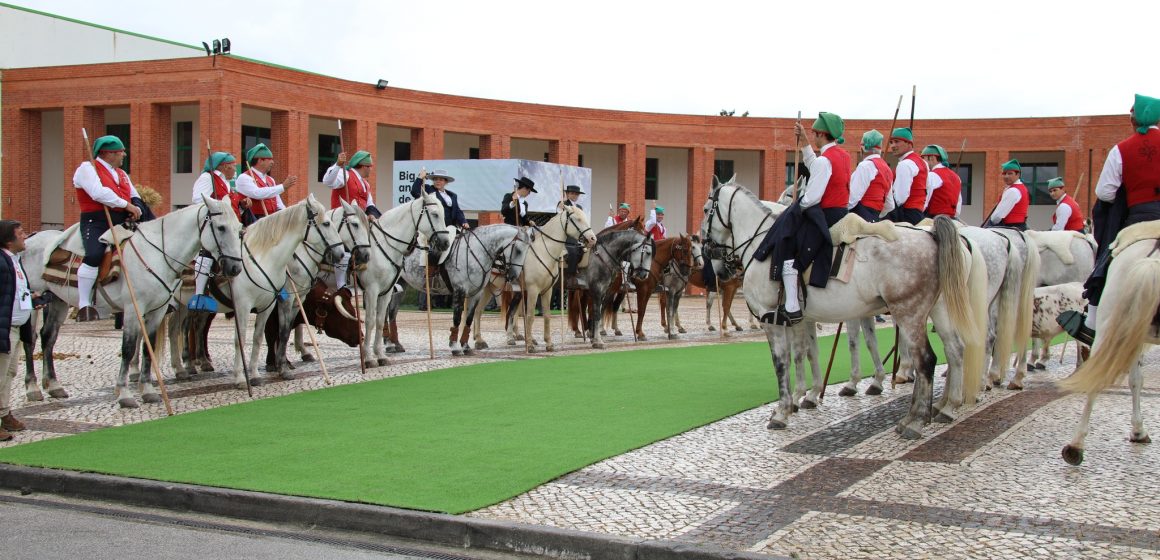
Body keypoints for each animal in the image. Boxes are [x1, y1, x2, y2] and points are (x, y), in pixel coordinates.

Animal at [21, 199, 244, 410]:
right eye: (221, 227)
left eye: (239, 229)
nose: (235, 268)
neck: (157, 254)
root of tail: (30, 239)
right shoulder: (132, 309)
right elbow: (128, 348)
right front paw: (124, 393)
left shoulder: (157, 310)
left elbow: (148, 346)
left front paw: (148, 390)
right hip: (31, 303)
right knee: (30, 339)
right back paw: (32, 387)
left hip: (59, 301)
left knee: (48, 337)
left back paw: (53, 385)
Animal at [700, 180, 983, 438]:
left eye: (704, 209)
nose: (716, 265)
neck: (764, 245)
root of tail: (931, 234)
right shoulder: (801, 319)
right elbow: (808, 353)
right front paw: (804, 397)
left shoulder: (772, 319)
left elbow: (783, 362)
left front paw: (783, 410)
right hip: (939, 311)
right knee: (954, 349)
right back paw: (944, 407)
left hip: (909, 313)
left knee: (926, 359)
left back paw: (915, 420)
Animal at [1062, 223, 1160, 463]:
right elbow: (1136, 380)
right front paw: (1139, 430)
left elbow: (1136, 380)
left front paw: (1138, 430)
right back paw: (1076, 445)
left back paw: (1075, 445)